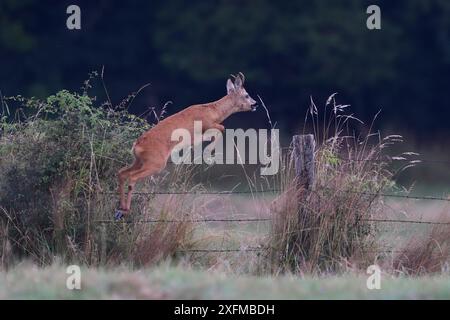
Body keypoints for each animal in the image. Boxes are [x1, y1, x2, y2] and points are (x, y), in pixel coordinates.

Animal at [114, 72, 258, 220]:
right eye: (246, 95)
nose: (255, 104)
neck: (214, 111)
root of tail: (137, 146)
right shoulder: (207, 124)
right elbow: (222, 128)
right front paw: (208, 154)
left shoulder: (199, 136)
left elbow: (216, 132)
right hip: (156, 162)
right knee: (132, 177)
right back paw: (126, 209)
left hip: (139, 161)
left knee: (122, 173)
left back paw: (121, 209)